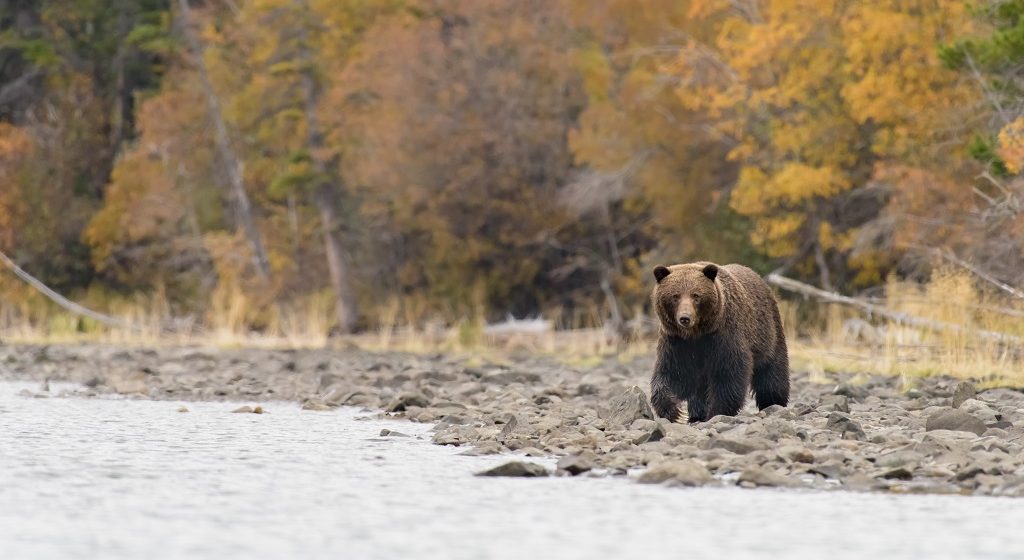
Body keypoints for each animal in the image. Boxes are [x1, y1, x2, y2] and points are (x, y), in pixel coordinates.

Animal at [647, 261, 790, 423]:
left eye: (696, 295)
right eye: (675, 296)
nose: (685, 318)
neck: (696, 334)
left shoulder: (723, 335)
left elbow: (728, 372)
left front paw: (717, 411)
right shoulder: (676, 342)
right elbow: (673, 373)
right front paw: (674, 411)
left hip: (768, 332)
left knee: (772, 371)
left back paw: (773, 402)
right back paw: (696, 413)